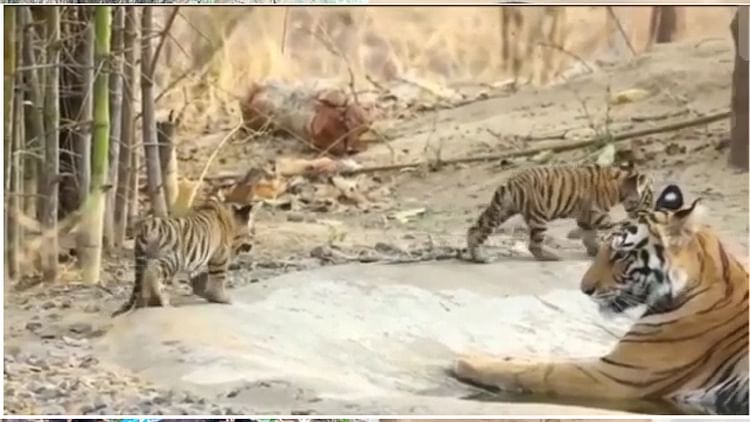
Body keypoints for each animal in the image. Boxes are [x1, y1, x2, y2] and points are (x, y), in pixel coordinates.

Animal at [111, 199, 258, 316]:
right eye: (253, 232)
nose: (252, 245)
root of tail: (147, 226)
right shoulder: (220, 257)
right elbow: (218, 278)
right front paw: (222, 298)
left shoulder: (199, 258)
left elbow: (199, 277)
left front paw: (203, 292)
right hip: (173, 259)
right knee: (153, 270)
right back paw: (160, 300)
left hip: (143, 259)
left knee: (143, 279)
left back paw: (143, 303)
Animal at [452, 183, 750, 414]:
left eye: (620, 254)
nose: (585, 289)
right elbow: (542, 360)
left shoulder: (615, 377)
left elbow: (541, 372)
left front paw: (466, 361)